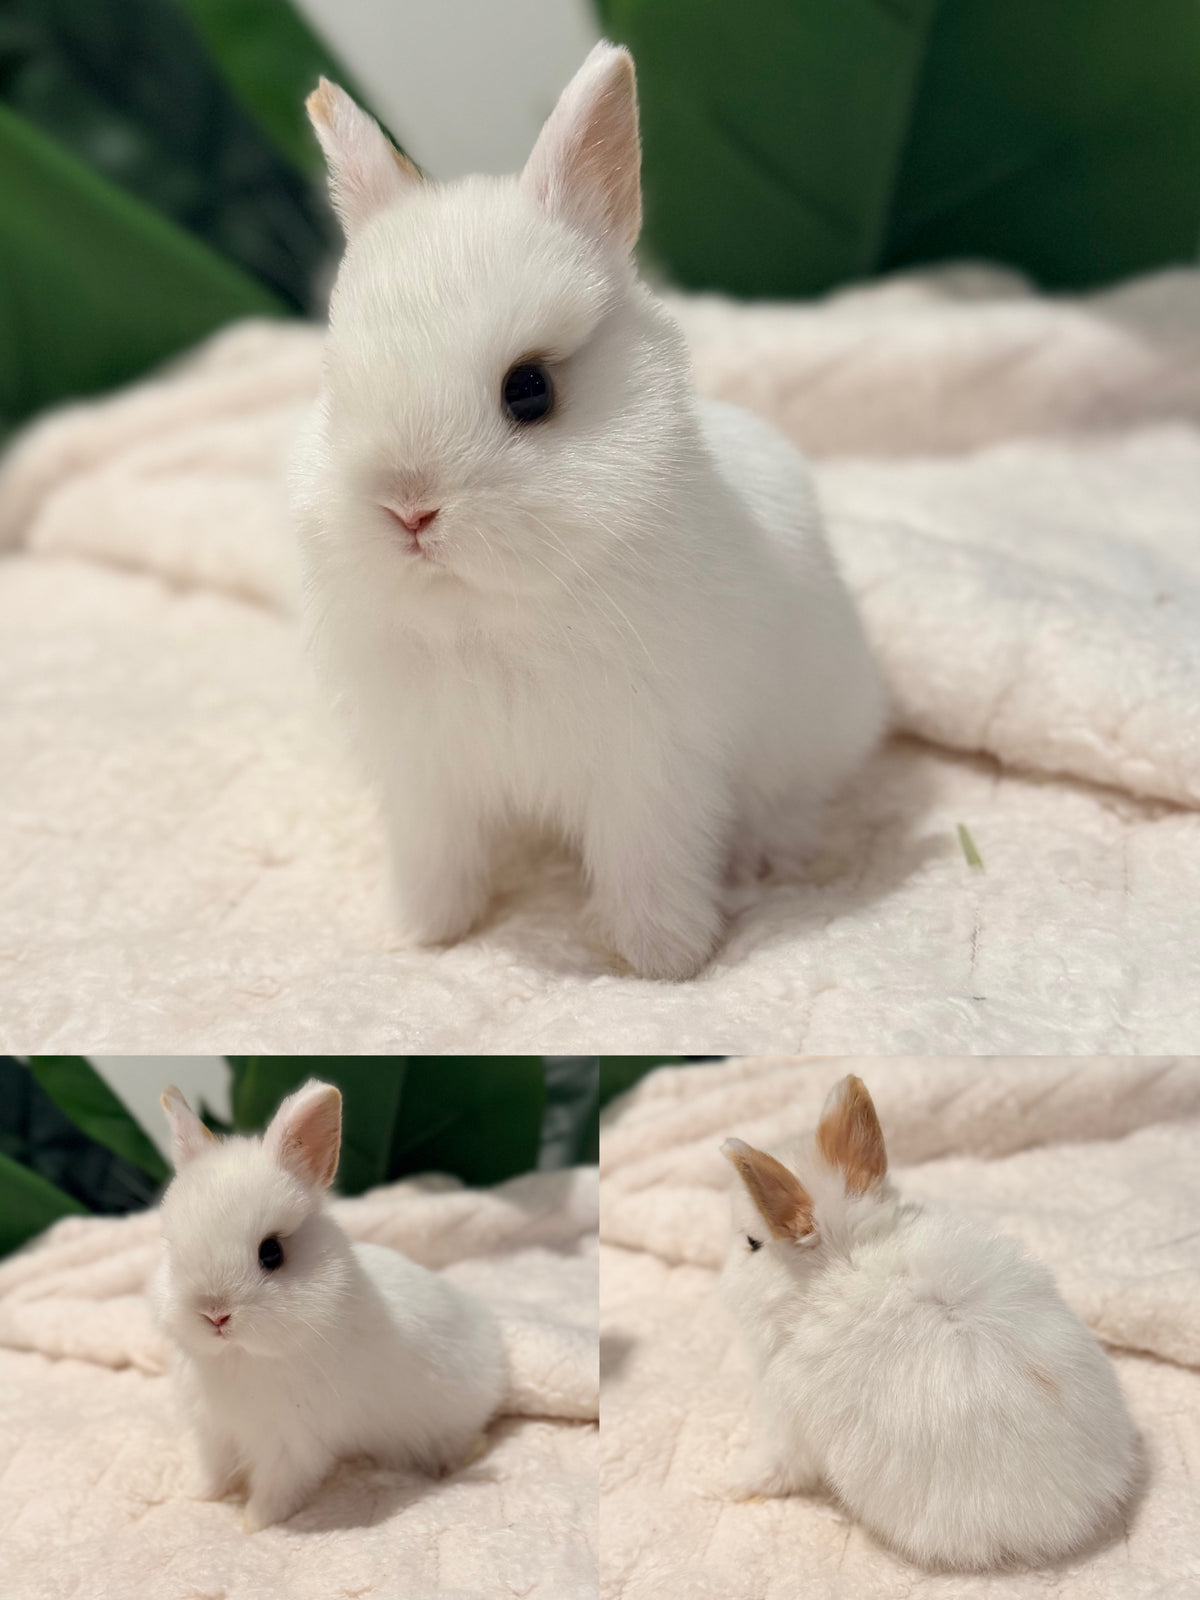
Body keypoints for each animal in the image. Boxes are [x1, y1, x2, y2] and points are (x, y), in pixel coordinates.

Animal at [151, 1080, 507, 1532]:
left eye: (271, 1252)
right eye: (172, 1247)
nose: (214, 1314)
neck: (239, 1357)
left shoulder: (292, 1444)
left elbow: (277, 1489)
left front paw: (253, 1523)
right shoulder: (214, 1432)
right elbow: (213, 1471)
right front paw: (196, 1495)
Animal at [288, 42, 886, 982]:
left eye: (529, 389)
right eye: (336, 385)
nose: (408, 508)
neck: (483, 616)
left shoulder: (652, 772)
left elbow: (650, 866)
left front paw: (665, 958)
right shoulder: (426, 782)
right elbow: (436, 864)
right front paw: (422, 934)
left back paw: (765, 863)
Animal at [719, 1075, 1139, 1571]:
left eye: (752, 1243)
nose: (722, 1279)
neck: (844, 1258)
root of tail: (1082, 1507)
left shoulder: (785, 1416)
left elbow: (775, 1466)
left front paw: (731, 1483)